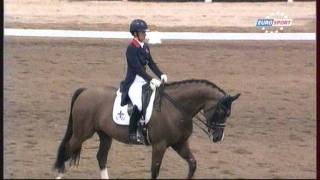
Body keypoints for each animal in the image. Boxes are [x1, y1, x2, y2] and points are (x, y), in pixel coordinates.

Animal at [53, 79, 240, 179]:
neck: (176, 108)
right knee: (67, 150)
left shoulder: (179, 143)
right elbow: (155, 171)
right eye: (221, 112)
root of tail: (85, 90)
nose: (218, 137)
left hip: (105, 135)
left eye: (229, 114)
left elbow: (193, 164)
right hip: (82, 133)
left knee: (101, 157)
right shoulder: (160, 145)